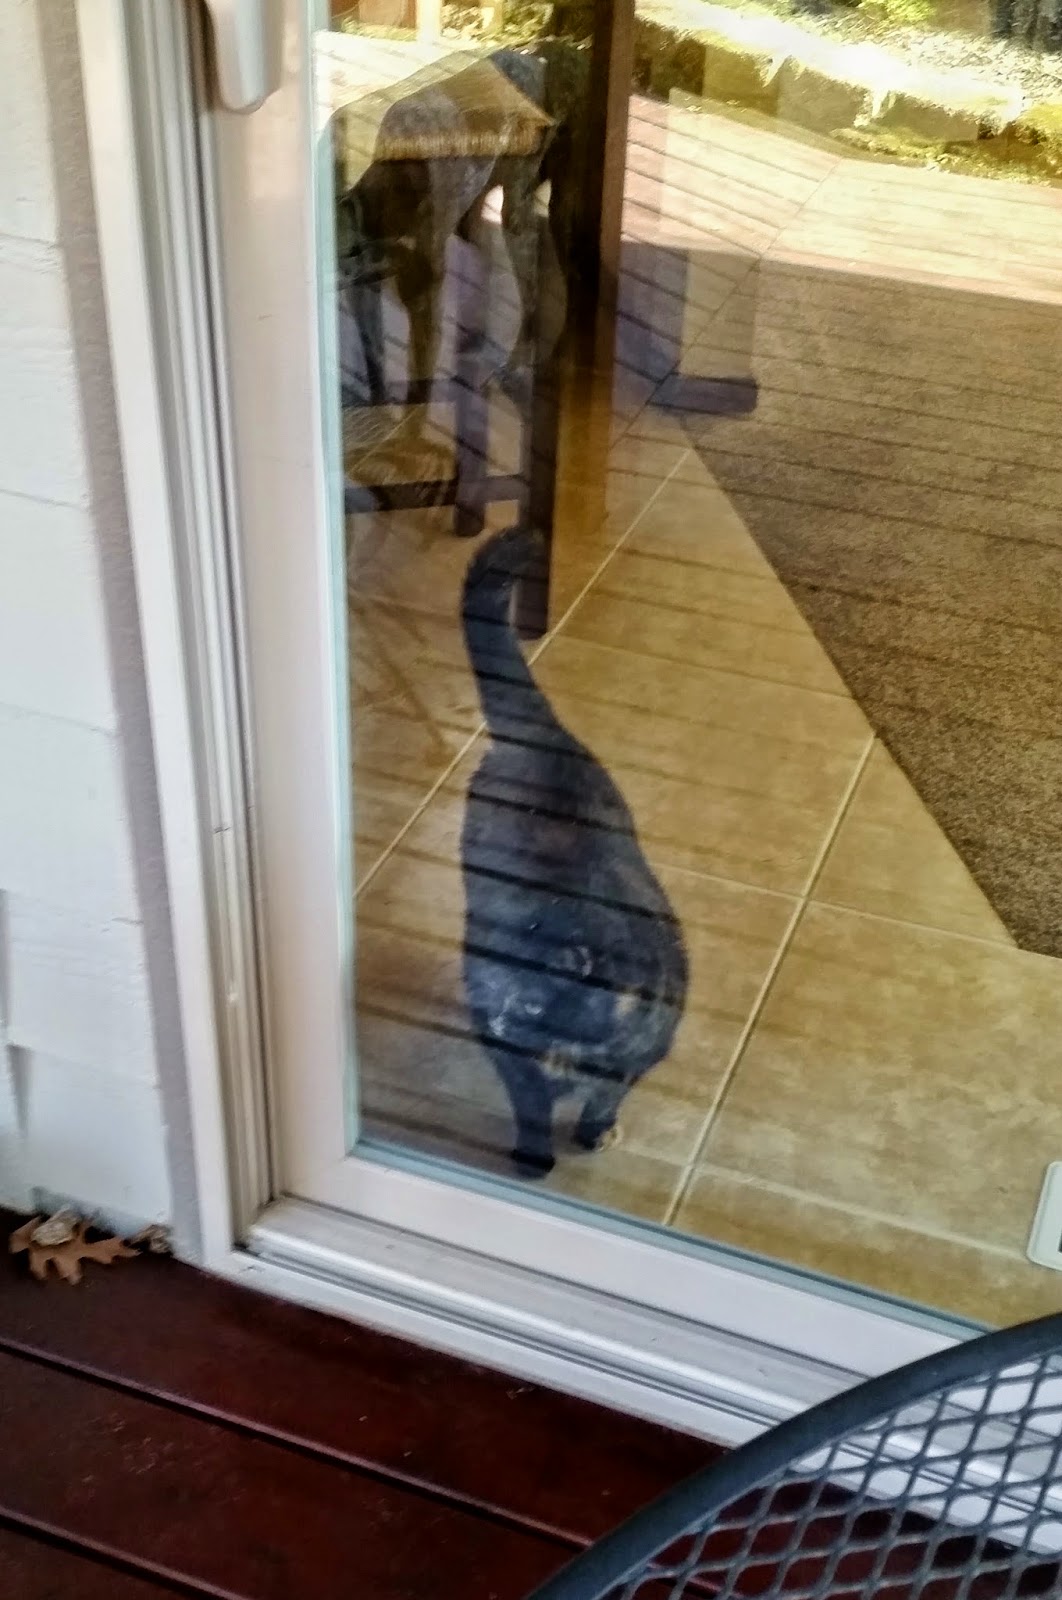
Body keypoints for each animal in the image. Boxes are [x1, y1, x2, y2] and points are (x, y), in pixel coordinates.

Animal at [460, 526, 689, 1177]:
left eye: (532, 1004)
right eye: (487, 989)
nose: (492, 1016)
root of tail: (546, 735)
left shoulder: (638, 1060)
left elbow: (606, 1099)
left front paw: (593, 1133)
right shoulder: (512, 1064)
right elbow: (531, 1108)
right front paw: (535, 1159)